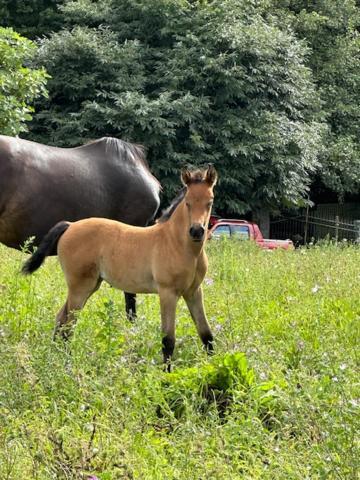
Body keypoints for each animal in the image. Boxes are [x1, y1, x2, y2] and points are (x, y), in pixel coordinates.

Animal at [23, 167, 219, 370]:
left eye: (210, 201)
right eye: (187, 202)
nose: (196, 231)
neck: (178, 245)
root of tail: (70, 225)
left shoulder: (193, 291)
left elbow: (206, 334)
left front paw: (215, 365)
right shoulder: (168, 293)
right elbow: (168, 340)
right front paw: (166, 373)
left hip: (90, 285)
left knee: (61, 318)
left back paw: (56, 356)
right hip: (80, 286)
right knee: (69, 323)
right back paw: (64, 363)